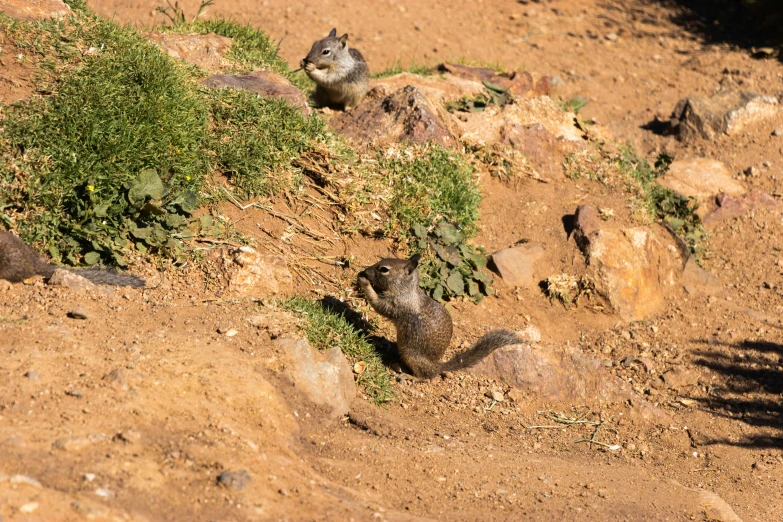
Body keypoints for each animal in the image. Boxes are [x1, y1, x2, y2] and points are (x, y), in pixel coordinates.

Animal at [360, 253, 520, 378]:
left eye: (384, 269)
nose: (365, 271)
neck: (406, 290)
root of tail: (437, 366)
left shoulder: (396, 305)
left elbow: (379, 305)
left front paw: (364, 282)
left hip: (411, 356)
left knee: (426, 376)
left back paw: (410, 376)